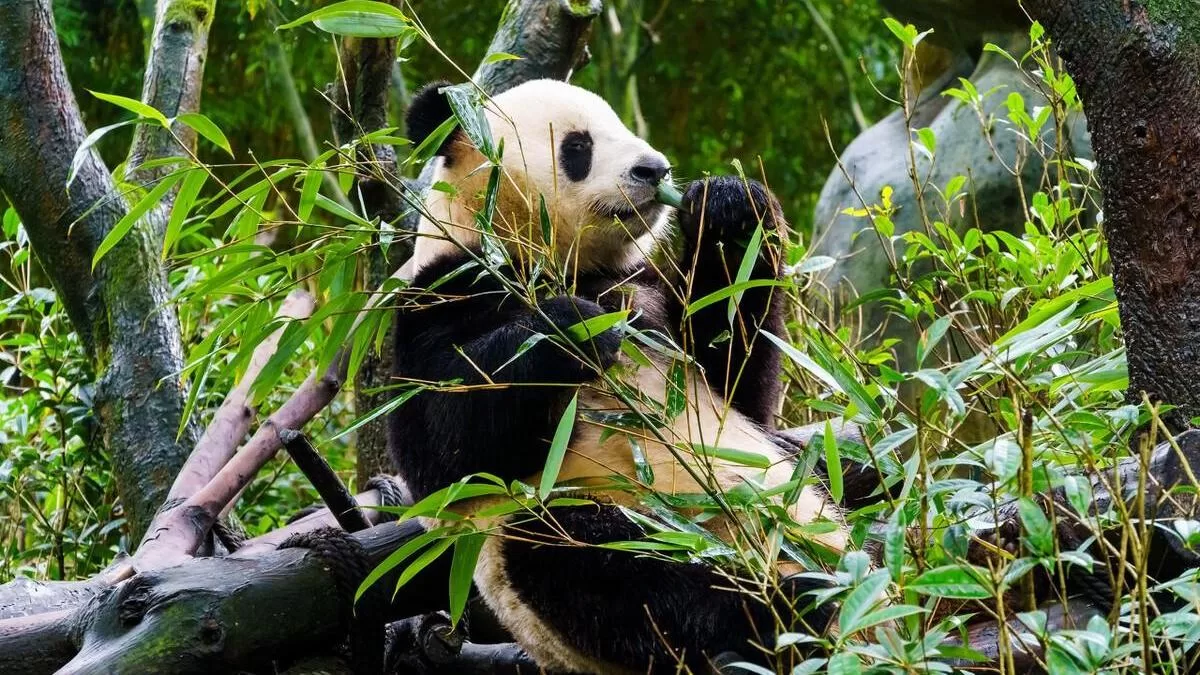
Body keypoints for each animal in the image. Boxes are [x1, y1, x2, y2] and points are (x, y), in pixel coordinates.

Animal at [387, 79, 848, 673]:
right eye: (579, 146)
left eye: (626, 127)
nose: (654, 169)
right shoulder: (442, 295)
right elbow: (444, 444)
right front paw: (574, 329)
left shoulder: (644, 290)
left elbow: (741, 379)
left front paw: (730, 209)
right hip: (577, 537)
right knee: (598, 564)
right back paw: (782, 611)